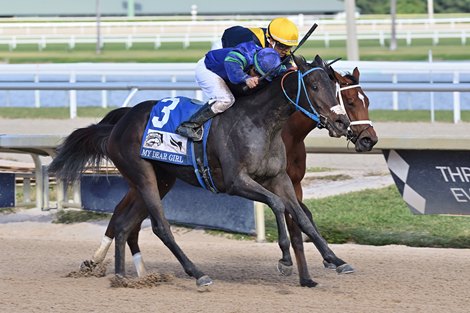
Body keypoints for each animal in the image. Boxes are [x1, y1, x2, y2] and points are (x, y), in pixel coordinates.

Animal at [72, 59, 378, 286]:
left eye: (335, 88)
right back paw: (196, 274)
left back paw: (122, 276)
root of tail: (121, 121)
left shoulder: (281, 179)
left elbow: (303, 218)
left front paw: (333, 261)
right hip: (143, 176)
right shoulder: (237, 182)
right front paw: (285, 260)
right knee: (159, 226)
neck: (264, 123)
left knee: (125, 223)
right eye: (315, 86)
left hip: (160, 180)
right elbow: (279, 206)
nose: (366, 138)